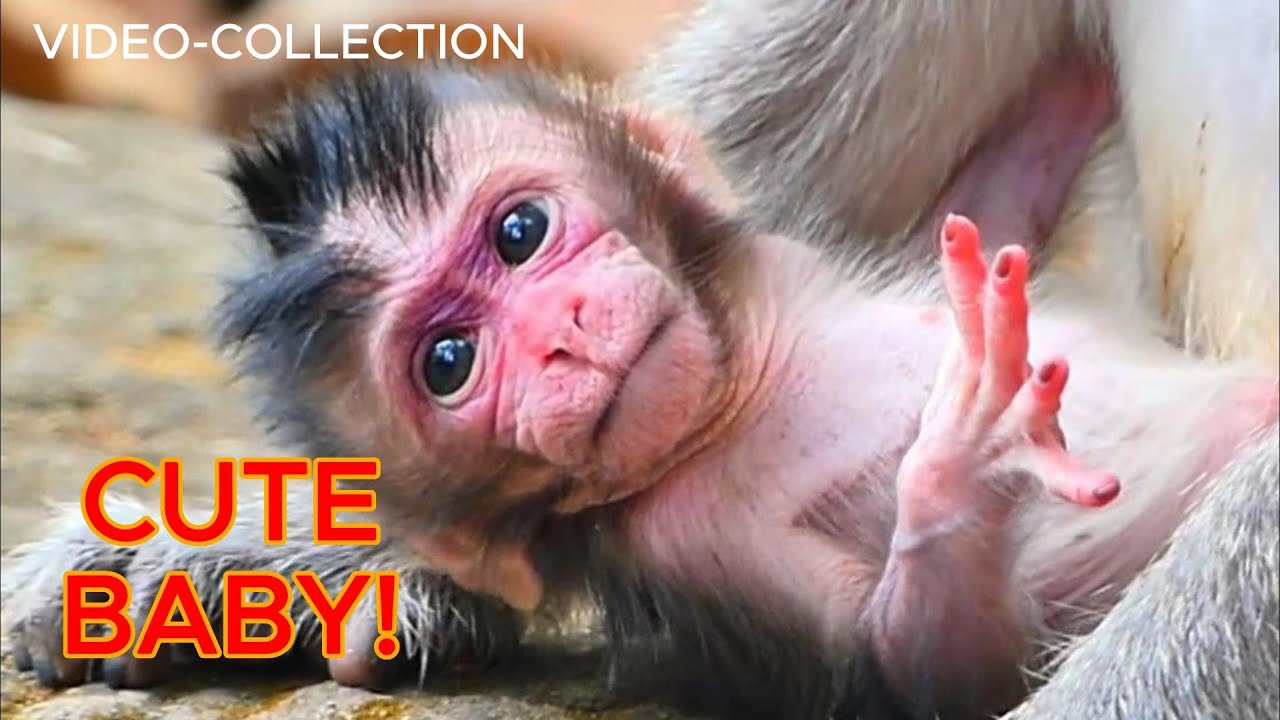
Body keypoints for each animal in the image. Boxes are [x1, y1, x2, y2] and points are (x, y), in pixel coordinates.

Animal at [2, 61, 1276, 720]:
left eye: (519, 232)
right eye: (449, 364)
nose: (559, 338)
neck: (742, 386)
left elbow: (984, 200)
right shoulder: (694, 542)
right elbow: (925, 662)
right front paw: (957, 453)